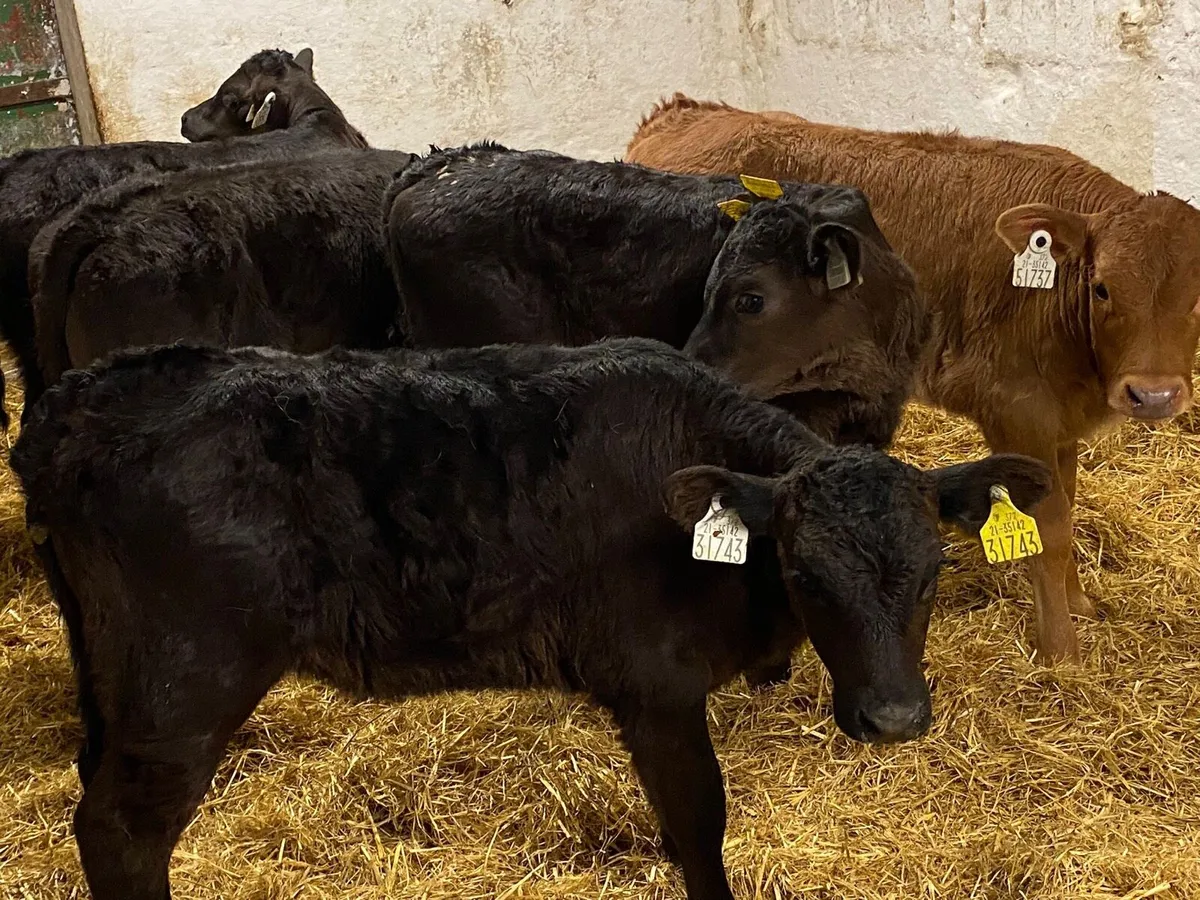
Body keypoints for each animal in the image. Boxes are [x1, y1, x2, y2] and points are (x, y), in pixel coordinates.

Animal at [11, 337, 1050, 900]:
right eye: (805, 573)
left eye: (935, 570)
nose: (895, 719)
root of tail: (83, 399)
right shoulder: (656, 689)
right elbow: (698, 827)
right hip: (186, 682)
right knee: (120, 831)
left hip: (111, 671)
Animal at [625, 95, 1200, 664]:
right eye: (1102, 288)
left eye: (1198, 297)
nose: (1153, 395)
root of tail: (686, 111)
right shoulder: (1018, 412)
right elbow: (1049, 528)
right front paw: (1062, 652)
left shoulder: (1059, 425)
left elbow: (1070, 506)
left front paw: (1078, 602)